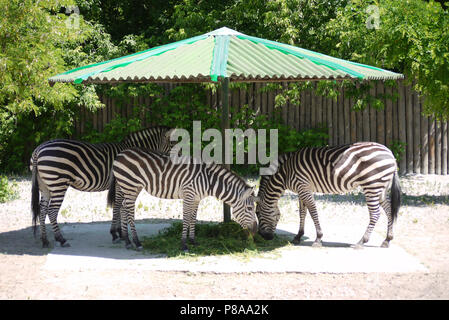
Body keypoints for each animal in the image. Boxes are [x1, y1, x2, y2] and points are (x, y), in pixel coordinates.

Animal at [30, 125, 173, 248]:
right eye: (173, 144)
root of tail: (38, 150)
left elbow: (119, 206)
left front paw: (119, 232)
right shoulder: (120, 184)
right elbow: (118, 206)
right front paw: (116, 233)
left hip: (45, 186)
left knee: (42, 210)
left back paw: (45, 240)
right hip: (58, 183)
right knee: (51, 211)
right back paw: (61, 239)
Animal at [106, 149, 260, 251]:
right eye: (250, 208)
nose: (255, 231)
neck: (208, 181)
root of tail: (120, 154)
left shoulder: (196, 199)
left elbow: (193, 218)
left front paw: (193, 240)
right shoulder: (189, 195)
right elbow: (186, 218)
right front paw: (184, 244)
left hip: (128, 186)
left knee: (123, 207)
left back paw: (127, 241)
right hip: (130, 185)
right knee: (128, 209)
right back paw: (137, 242)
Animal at [258, 142, 400, 250]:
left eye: (258, 214)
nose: (263, 236)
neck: (286, 172)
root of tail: (390, 154)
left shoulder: (303, 187)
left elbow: (313, 212)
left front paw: (318, 238)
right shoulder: (302, 189)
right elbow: (303, 213)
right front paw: (298, 236)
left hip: (372, 186)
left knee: (375, 214)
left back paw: (361, 242)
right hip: (380, 187)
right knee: (389, 209)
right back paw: (387, 240)